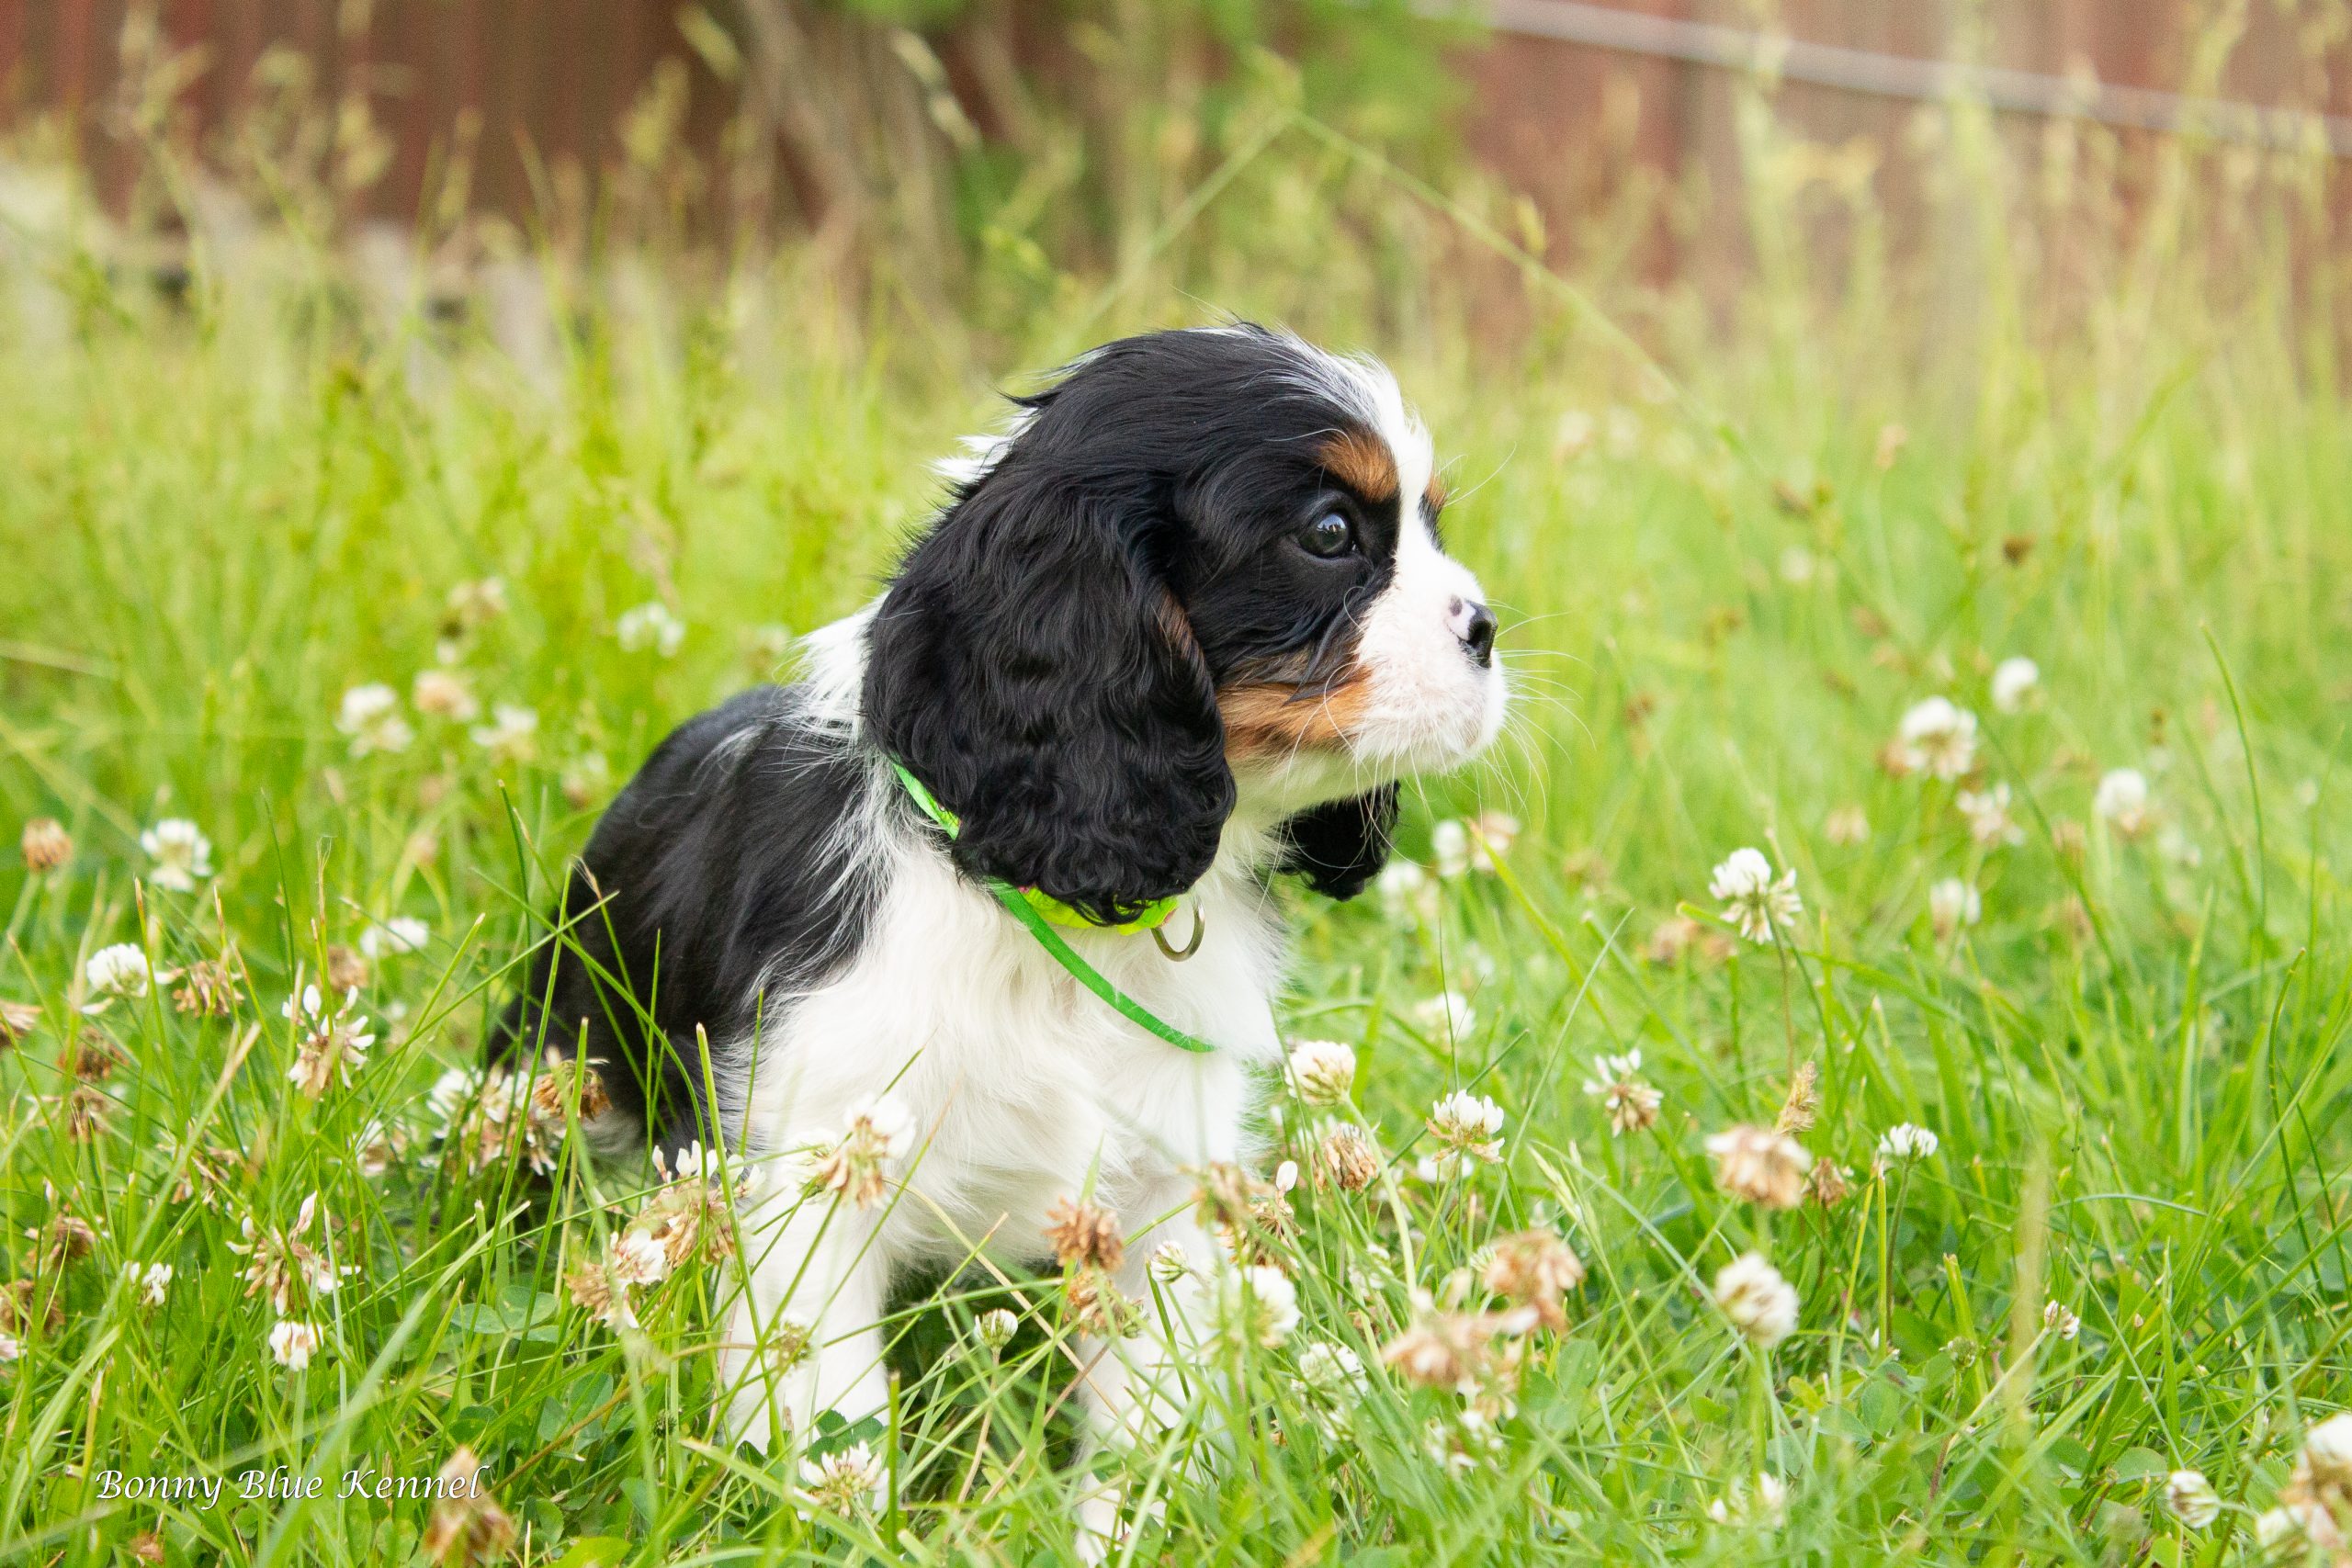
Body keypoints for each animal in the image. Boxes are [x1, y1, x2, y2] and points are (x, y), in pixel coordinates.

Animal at [503, 320, 1505, 1485]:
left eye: (1432, 524)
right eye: (1331, 533)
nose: (1486, 629)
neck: (1055, 914)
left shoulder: (1166, 1190)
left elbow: (1144, 1423)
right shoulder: (810, 1175)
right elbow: (833, 1425)